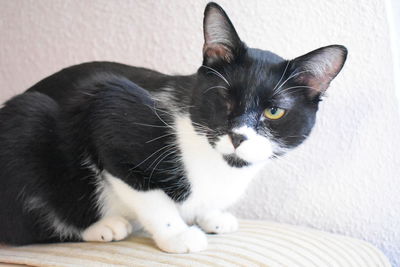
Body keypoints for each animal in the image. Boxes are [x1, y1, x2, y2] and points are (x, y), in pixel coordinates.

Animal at [0, 2, 346, 253]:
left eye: (273, 111)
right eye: (223, 96)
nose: (237, 135)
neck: (219, 163)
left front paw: (211, 216)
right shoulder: (109, 109)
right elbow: (148, 193)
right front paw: (177, 234)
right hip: (28, 121)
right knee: (26, 224)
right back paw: (101, 227)